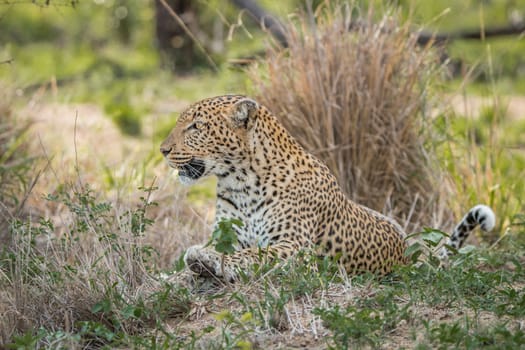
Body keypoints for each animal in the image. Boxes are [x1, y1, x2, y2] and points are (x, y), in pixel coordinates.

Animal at [159, 95, 492, 282]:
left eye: (196, 127)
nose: (162, 150)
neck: (240, 182)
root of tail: (410, 255)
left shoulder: (295, 247)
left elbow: (254, 254)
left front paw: (211, 261)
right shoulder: (227, 234)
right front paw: (176, 273)